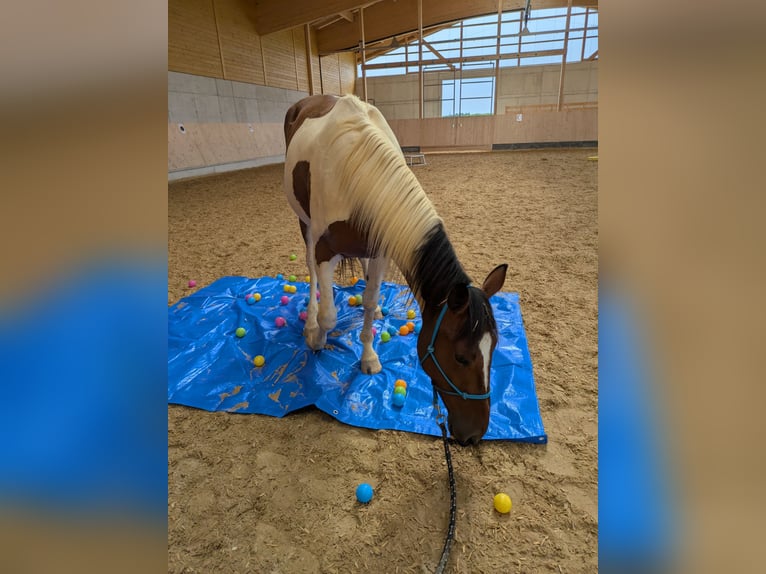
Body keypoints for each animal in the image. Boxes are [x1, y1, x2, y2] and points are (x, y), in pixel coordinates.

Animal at [283, 94, 507, 445]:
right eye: (461, 357)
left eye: (494, 347)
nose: (475, 434)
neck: (355, 170)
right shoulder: (323, 250)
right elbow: (329, 315)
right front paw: (318, 337)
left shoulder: (379, 248)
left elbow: (370, 299)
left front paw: (369, 356)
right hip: (303, 224)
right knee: (311, 272)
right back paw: (310, 324)